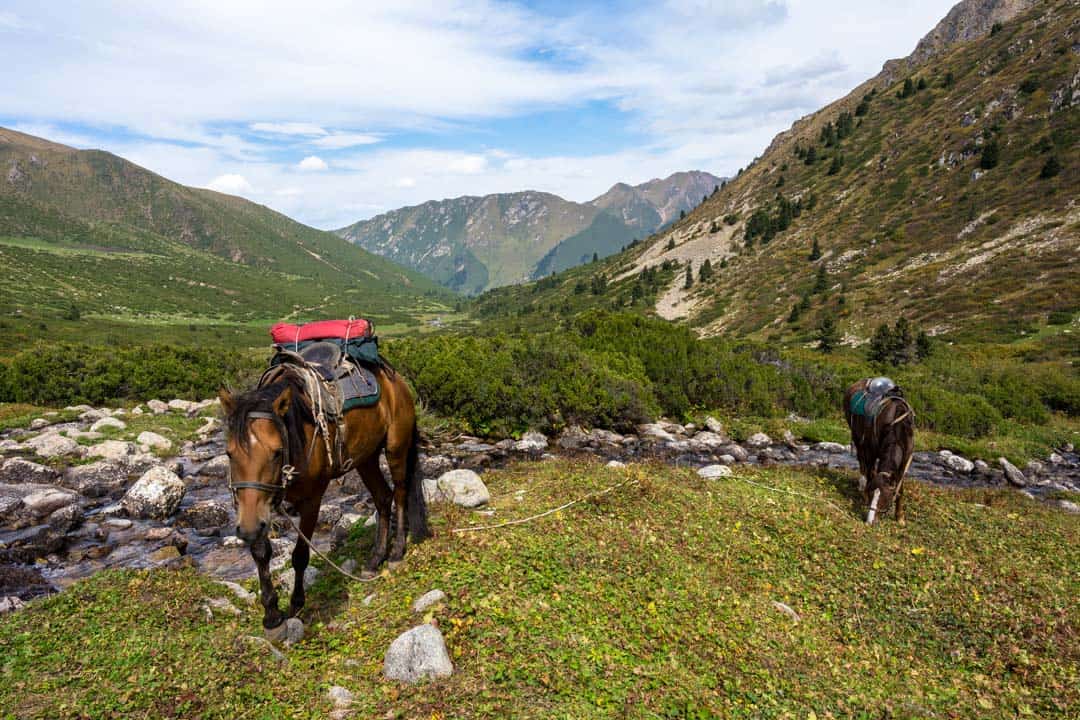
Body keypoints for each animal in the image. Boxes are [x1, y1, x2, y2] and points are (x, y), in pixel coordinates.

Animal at [217, 360, 427, 630]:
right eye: (229, 453)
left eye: (276, 452)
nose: (248, 530)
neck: (297, 433)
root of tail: (396, 380)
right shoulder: (256, 506)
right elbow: (261, 553)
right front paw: (272, 613)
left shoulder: (311, 502)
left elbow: (300, 555)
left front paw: (296, 604)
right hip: (366, 458)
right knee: (383, 497)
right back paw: (375, 559)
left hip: (395, 449)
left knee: (400, 492)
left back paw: (397, 551)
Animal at [838, 377, 915, 524]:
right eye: (872, 492)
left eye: (886, 497)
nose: (870, 521)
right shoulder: (872, 450)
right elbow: (870, 474)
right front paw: (865, 496)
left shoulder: (905, 459)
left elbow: (900, 487)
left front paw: (899, 517)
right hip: (858, 438)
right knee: (862, 461)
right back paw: (861, 485)